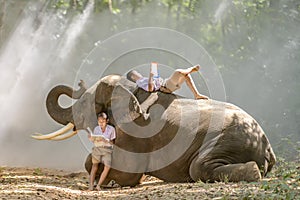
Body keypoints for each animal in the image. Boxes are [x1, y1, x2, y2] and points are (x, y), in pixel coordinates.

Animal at [32, 74, 276, 187]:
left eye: (84, 104)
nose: (79, 83)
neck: (131, 91)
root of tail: (267, 148)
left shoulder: (136, 132)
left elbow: (128, 170)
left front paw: (117, 181)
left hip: (227, 141)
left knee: (199, 167)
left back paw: (253, 172)